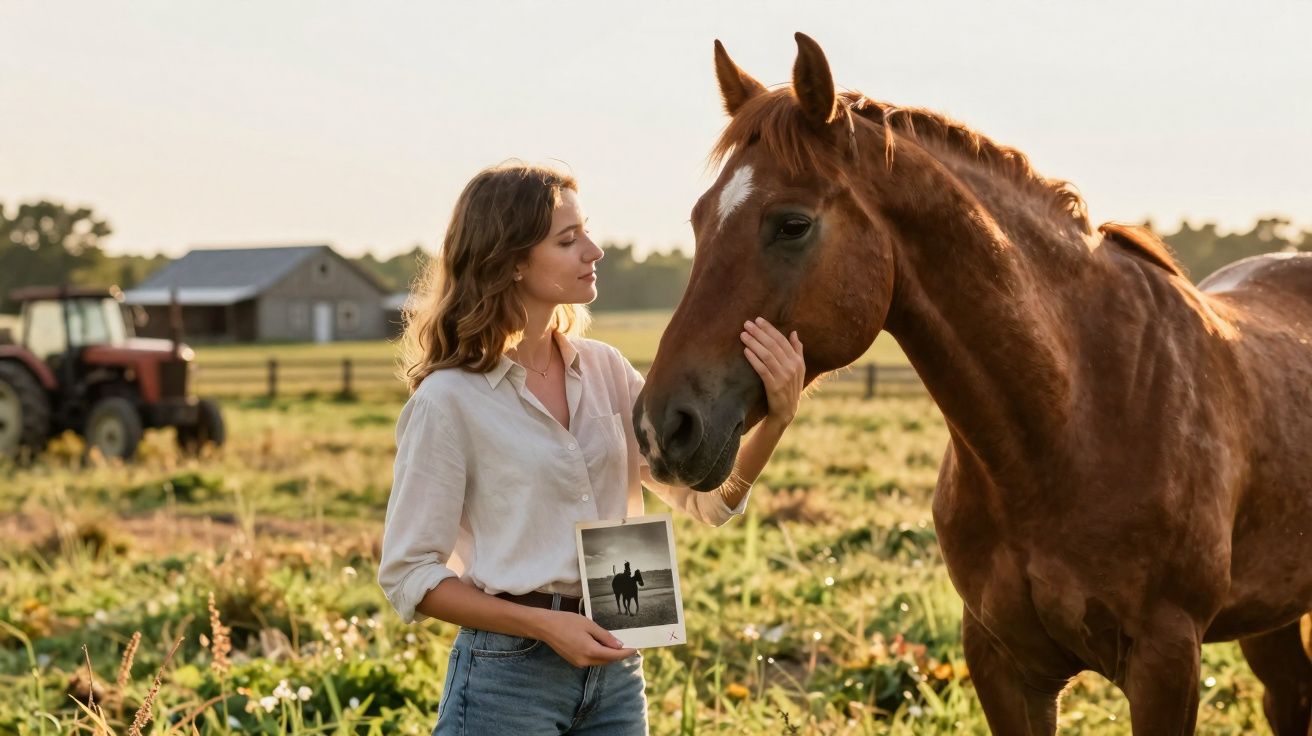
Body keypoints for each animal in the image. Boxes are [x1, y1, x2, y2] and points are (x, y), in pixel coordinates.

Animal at [633, 33, 1312, 735]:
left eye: (792, 223)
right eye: (699, 220)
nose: (661, 426)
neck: (1080, 418)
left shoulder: (1166, 662)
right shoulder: (1002, 662)